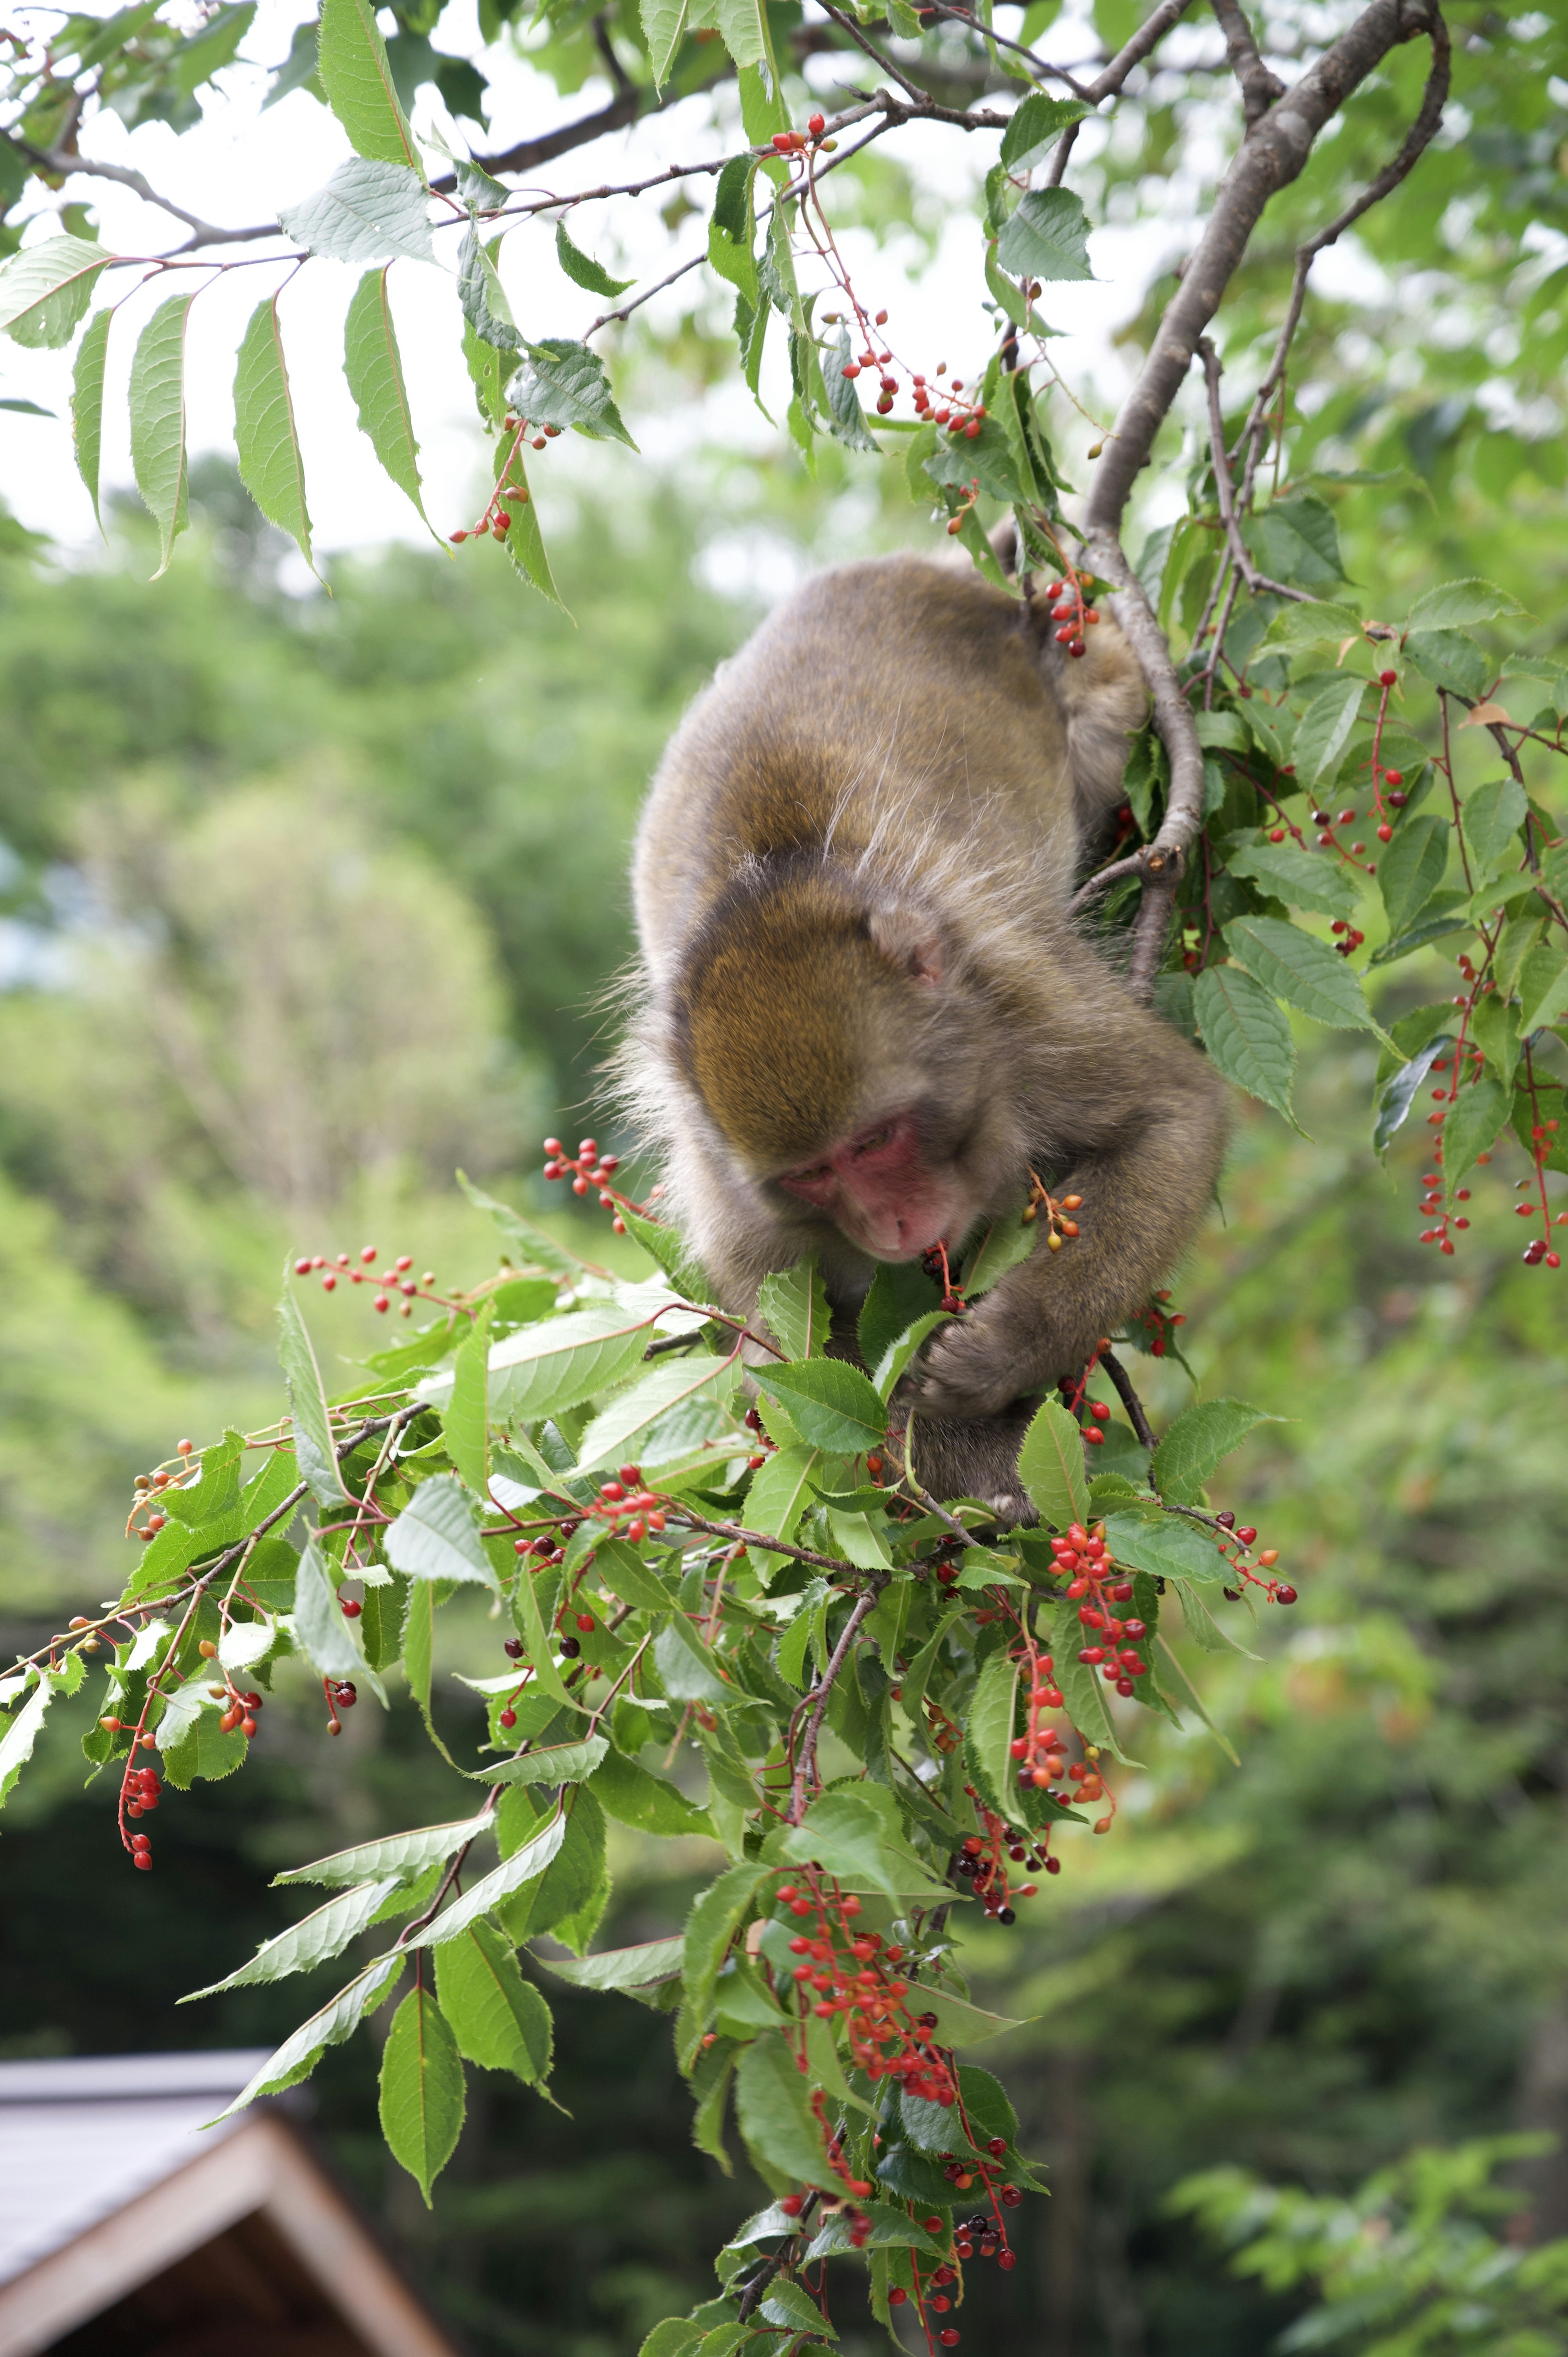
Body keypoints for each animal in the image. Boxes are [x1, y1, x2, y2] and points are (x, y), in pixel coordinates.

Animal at [622, 551, 1226, 1518]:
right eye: (814, 1173)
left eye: (878, 1138)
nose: (894, 1224)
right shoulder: (728, 1182)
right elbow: (790, 1361)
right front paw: (986, 1464)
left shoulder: (1022, 1002)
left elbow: (1174, 1115)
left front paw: (1009, 1345)